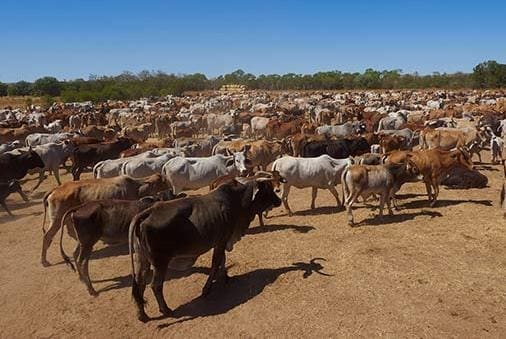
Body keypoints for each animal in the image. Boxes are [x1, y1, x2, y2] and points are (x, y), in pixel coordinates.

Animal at [128, 177, 282, 322]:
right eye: (267, 189)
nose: (279, 201)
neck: (238, 200)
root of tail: (147, 212)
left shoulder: (221, 241)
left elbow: (222, 261)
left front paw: (226, 277)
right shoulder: (222, 240)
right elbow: (216, 263)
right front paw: (207, 289)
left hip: (142, 259)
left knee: (140, 284)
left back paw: (142, 315)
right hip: (160, 262)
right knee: (155, 285)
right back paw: (165, 310)